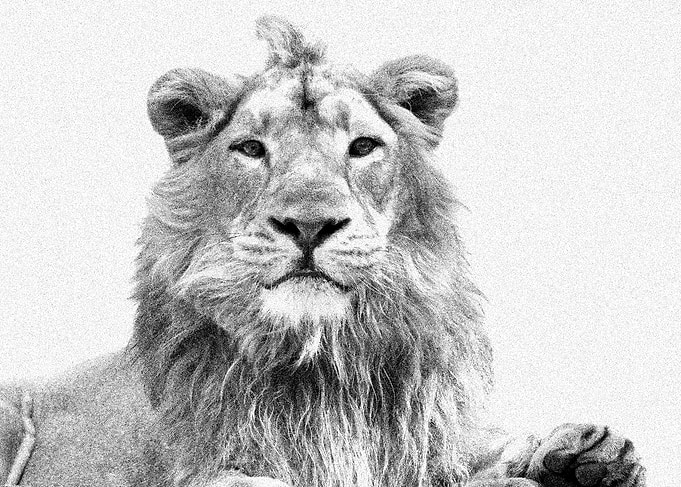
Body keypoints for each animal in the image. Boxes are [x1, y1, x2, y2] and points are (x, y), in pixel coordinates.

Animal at [0, 16, 645, 487]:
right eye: (250, 148)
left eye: (362, 146)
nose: (309, 226)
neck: (324, 358)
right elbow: (243, 479)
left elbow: (484, 449)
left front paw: (582, 455)